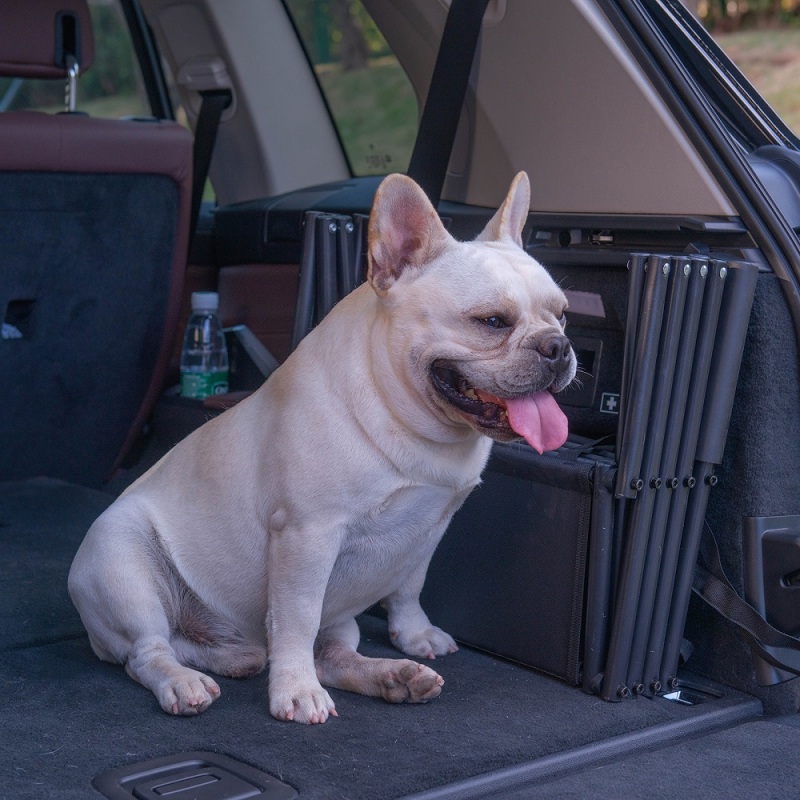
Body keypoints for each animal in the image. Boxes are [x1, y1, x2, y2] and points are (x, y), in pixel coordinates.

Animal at [65, 173, 572, 724]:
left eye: (562, 315)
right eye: (492, 321)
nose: (558, 346)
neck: (410, 421)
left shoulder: (432, 526)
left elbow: (409, 586)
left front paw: (413, 637)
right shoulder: (307, 536)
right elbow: (296, 619)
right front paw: (294, 690)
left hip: (334, 618)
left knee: (331, 654)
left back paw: (391, 676)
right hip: (124, 568)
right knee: (149, 652)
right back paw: (183, 682)